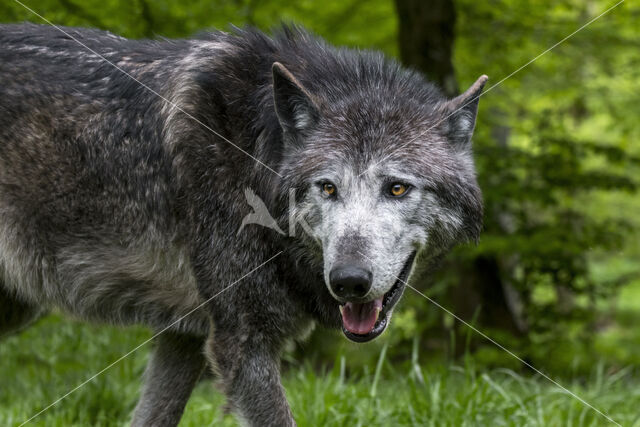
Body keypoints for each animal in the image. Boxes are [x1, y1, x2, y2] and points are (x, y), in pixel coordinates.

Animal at [0, 23, 484, 427]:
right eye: (327, 187)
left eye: (397, 188)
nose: (348, 281)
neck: (253, 153)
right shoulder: (241, 341)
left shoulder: (184, 336)